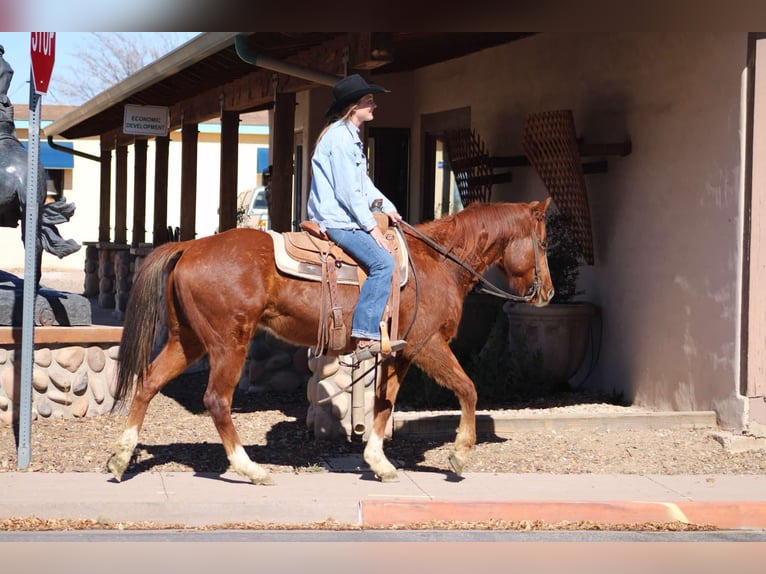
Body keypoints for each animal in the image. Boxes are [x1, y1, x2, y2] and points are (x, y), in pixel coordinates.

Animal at [108, 199, 556, 486]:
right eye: (545, 242)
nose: (549, 292)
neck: (438, 263)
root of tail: (189, 246)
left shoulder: (398, 353)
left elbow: (385, 403)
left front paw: (379, 463)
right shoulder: (427, 345)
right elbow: (467, 388)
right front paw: (460, 453)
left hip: (188, 340)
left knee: (148, 383)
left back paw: (120, 457)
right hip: (227, 343)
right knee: (217, 400)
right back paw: (251, 470)